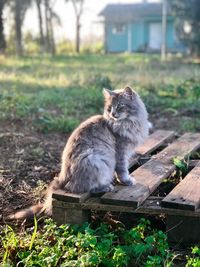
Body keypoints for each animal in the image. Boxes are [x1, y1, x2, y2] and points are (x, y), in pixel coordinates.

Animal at [9, 86, 150, 220]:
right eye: (110, 108)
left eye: (120, 106)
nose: (113, 114)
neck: (129, 123)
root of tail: (62, 177)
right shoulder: (121, 152)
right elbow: (122, 170)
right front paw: (127, 181)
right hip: (95, 161)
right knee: (86, 188)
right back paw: (106, 187)